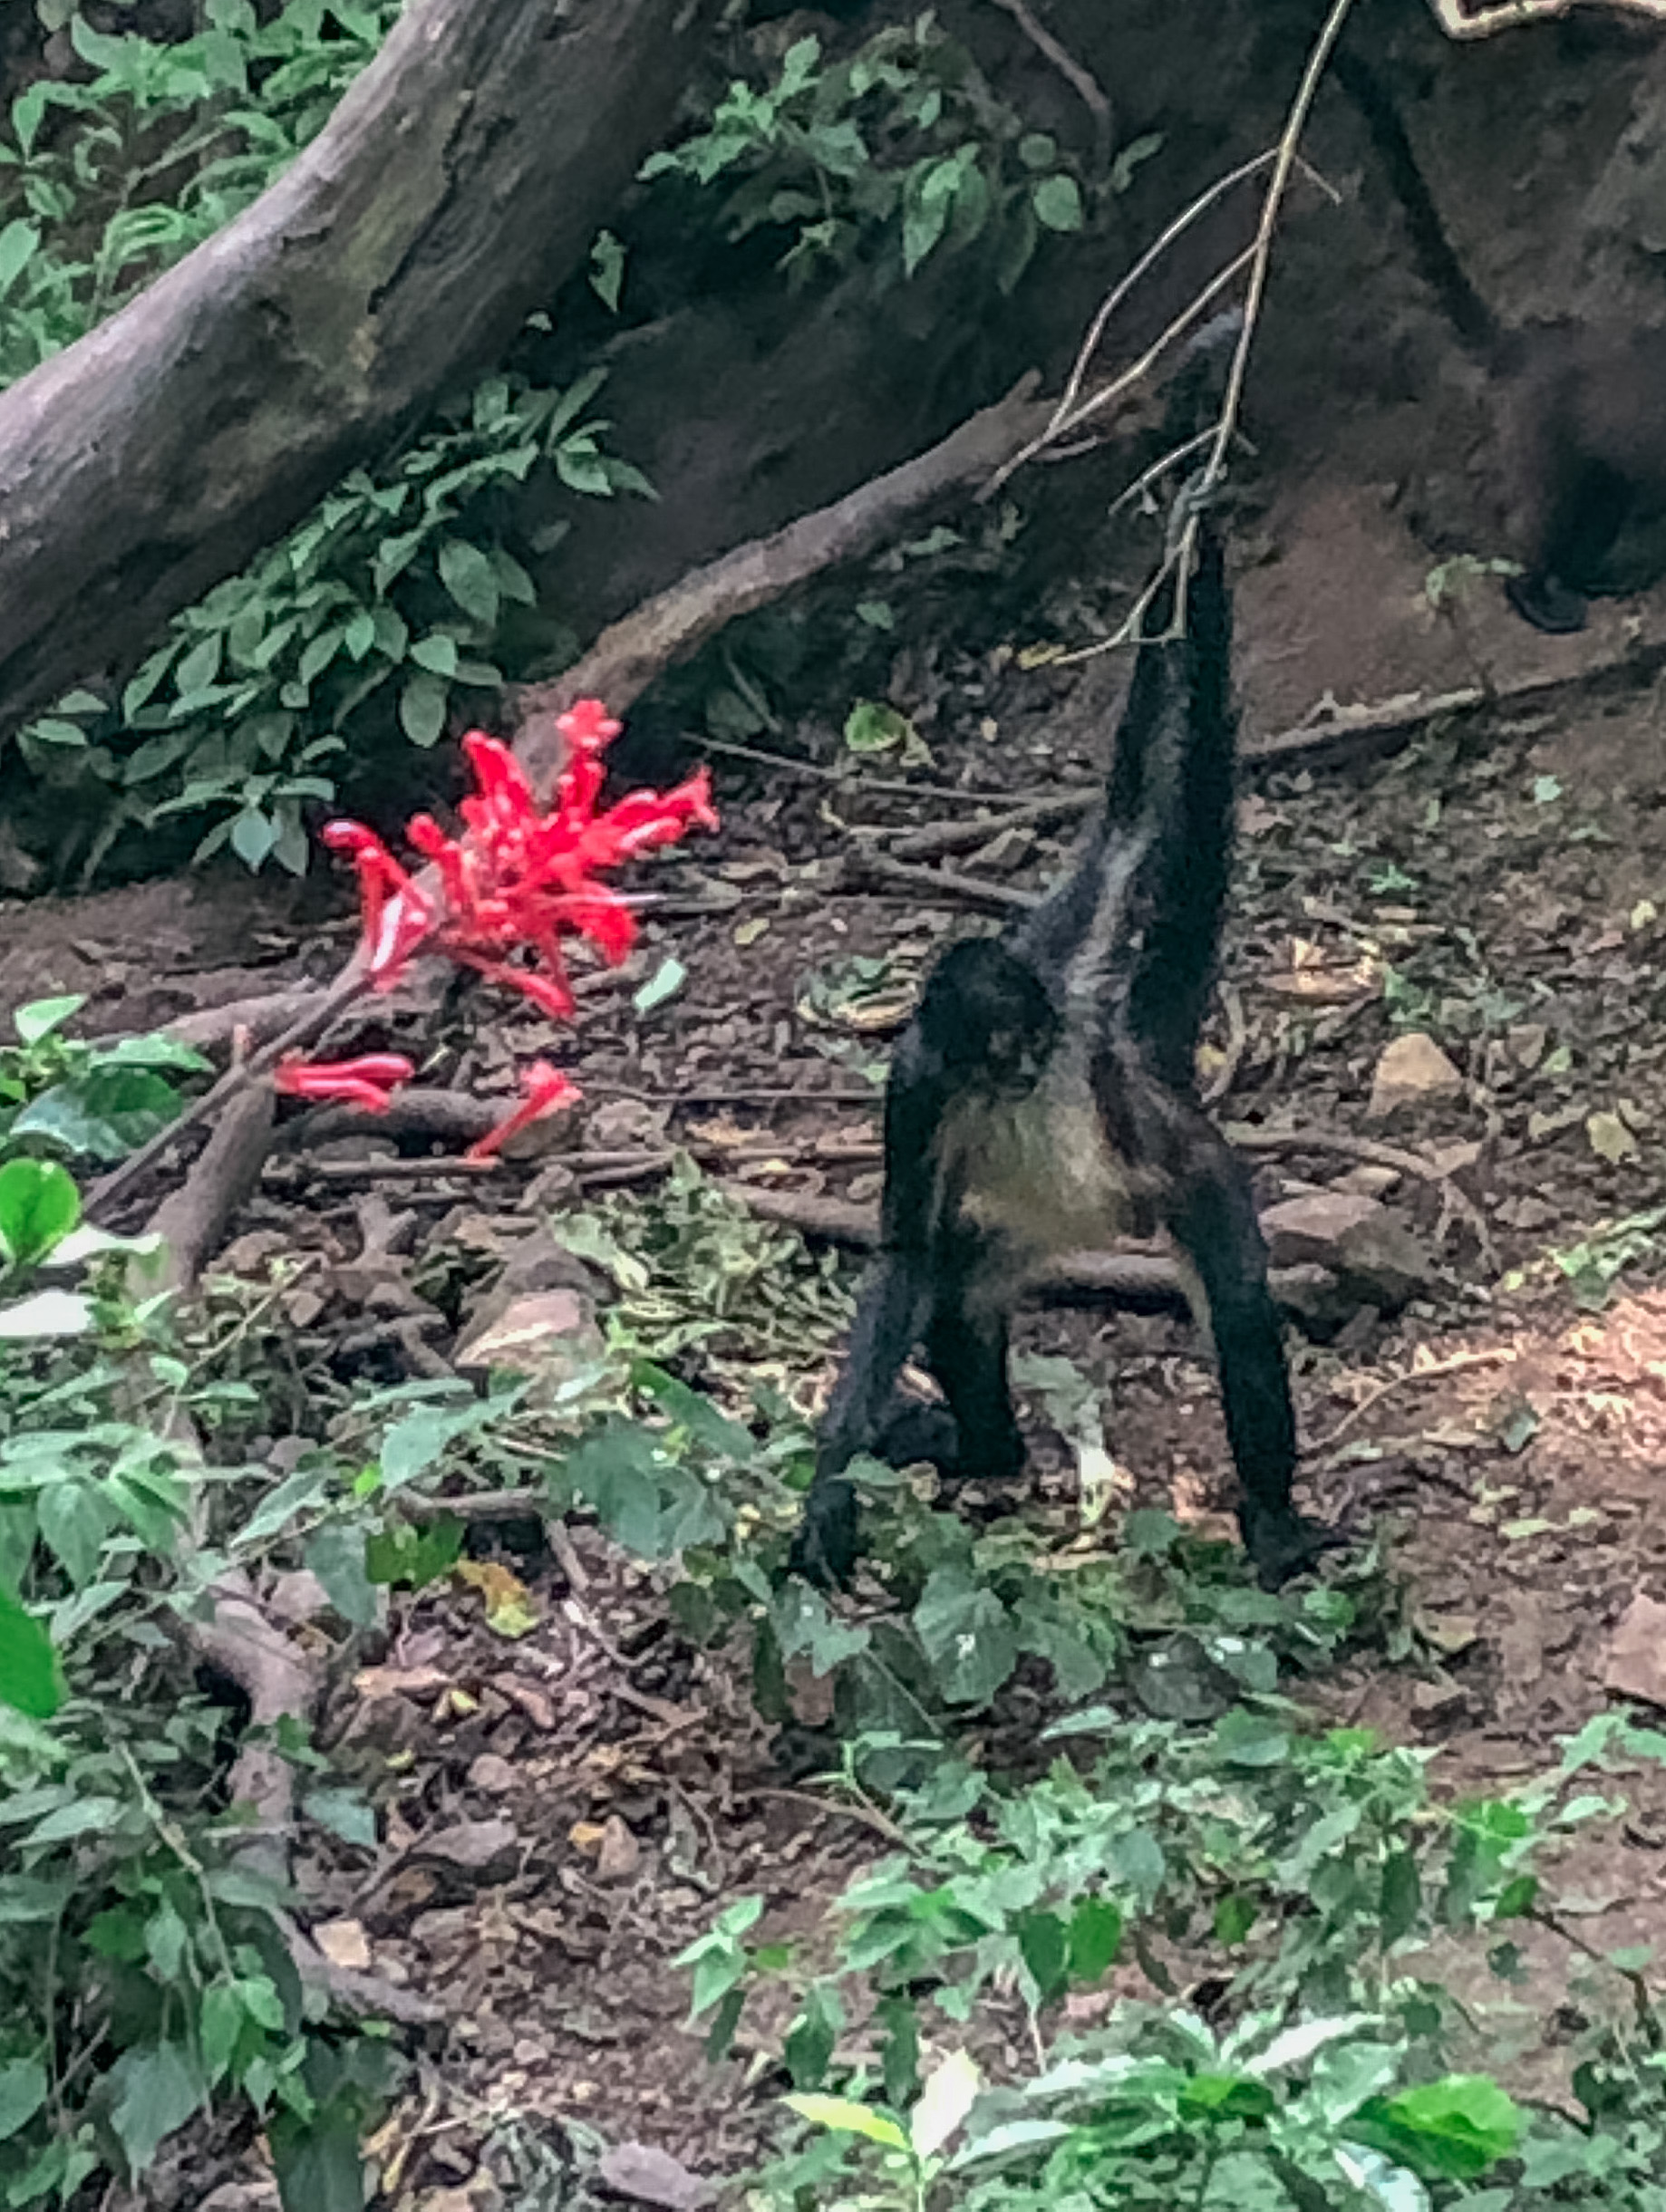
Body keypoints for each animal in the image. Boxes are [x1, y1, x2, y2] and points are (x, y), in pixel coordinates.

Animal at [791, 323, 1327, 1592]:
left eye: (1036, 1039)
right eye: (1001, 1049)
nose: (1034, 1060)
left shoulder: (1061, 960)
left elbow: (1132, 808)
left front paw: (1191, 526)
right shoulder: (919, 1080)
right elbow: (903, 1248)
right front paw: (831, 1487)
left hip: (1176, 1168)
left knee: (1238, 1312)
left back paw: (1271, 1520)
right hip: (1015, 1234)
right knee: (954, 1302)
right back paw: (974, 1448)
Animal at [1336, 47, 1666, 637]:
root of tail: (1522, 341)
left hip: (1605, 480)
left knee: (1576, 555)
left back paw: (1605, 583)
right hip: (1549, 469)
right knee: (1524, 560)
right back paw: (1551, 610)